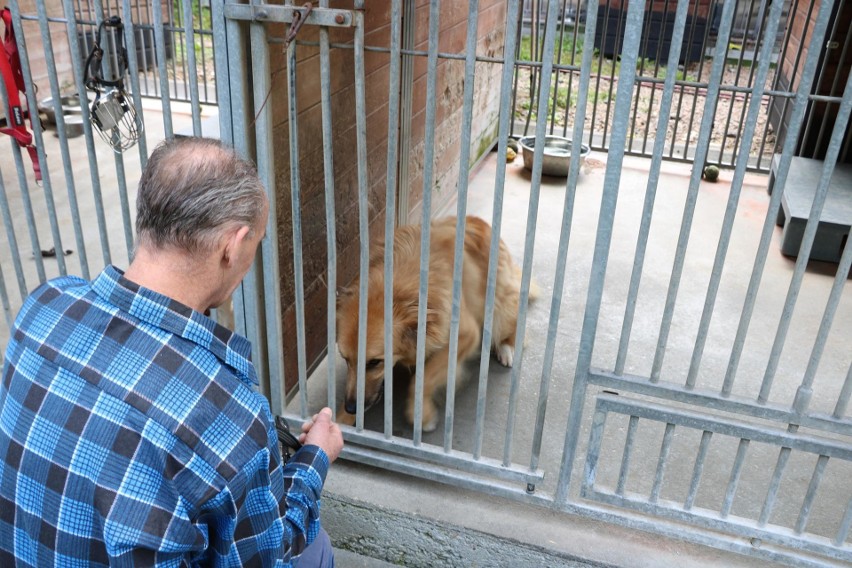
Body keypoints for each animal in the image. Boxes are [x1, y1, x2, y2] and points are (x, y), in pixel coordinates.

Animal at [334, 216, 528, 430]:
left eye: (374, 362)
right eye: (345, 359)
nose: (351, 407)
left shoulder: (466, 334)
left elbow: (424, 378)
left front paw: (421, 414)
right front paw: (341, 419)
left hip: (500, 309)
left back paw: (505, 348)